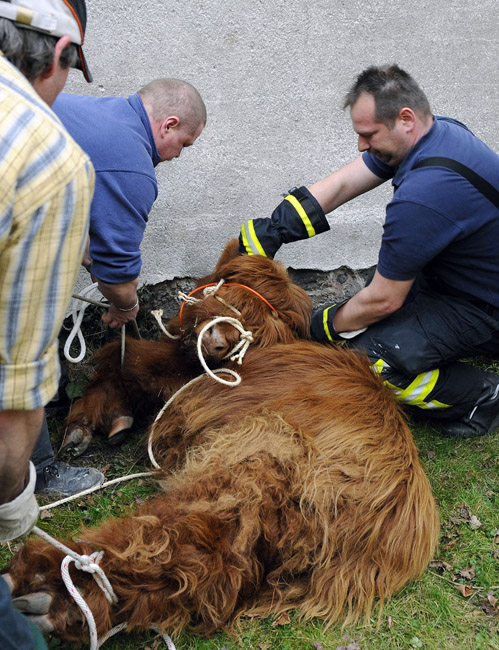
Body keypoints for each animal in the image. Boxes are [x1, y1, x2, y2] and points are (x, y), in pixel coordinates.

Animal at [3, 240, 440, 645]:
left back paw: (54, 585)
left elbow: (126, 359)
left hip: (250, 468)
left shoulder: (186, 389)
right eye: (231, 290)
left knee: (187, 543)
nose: (218, 341)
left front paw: (91, 419)